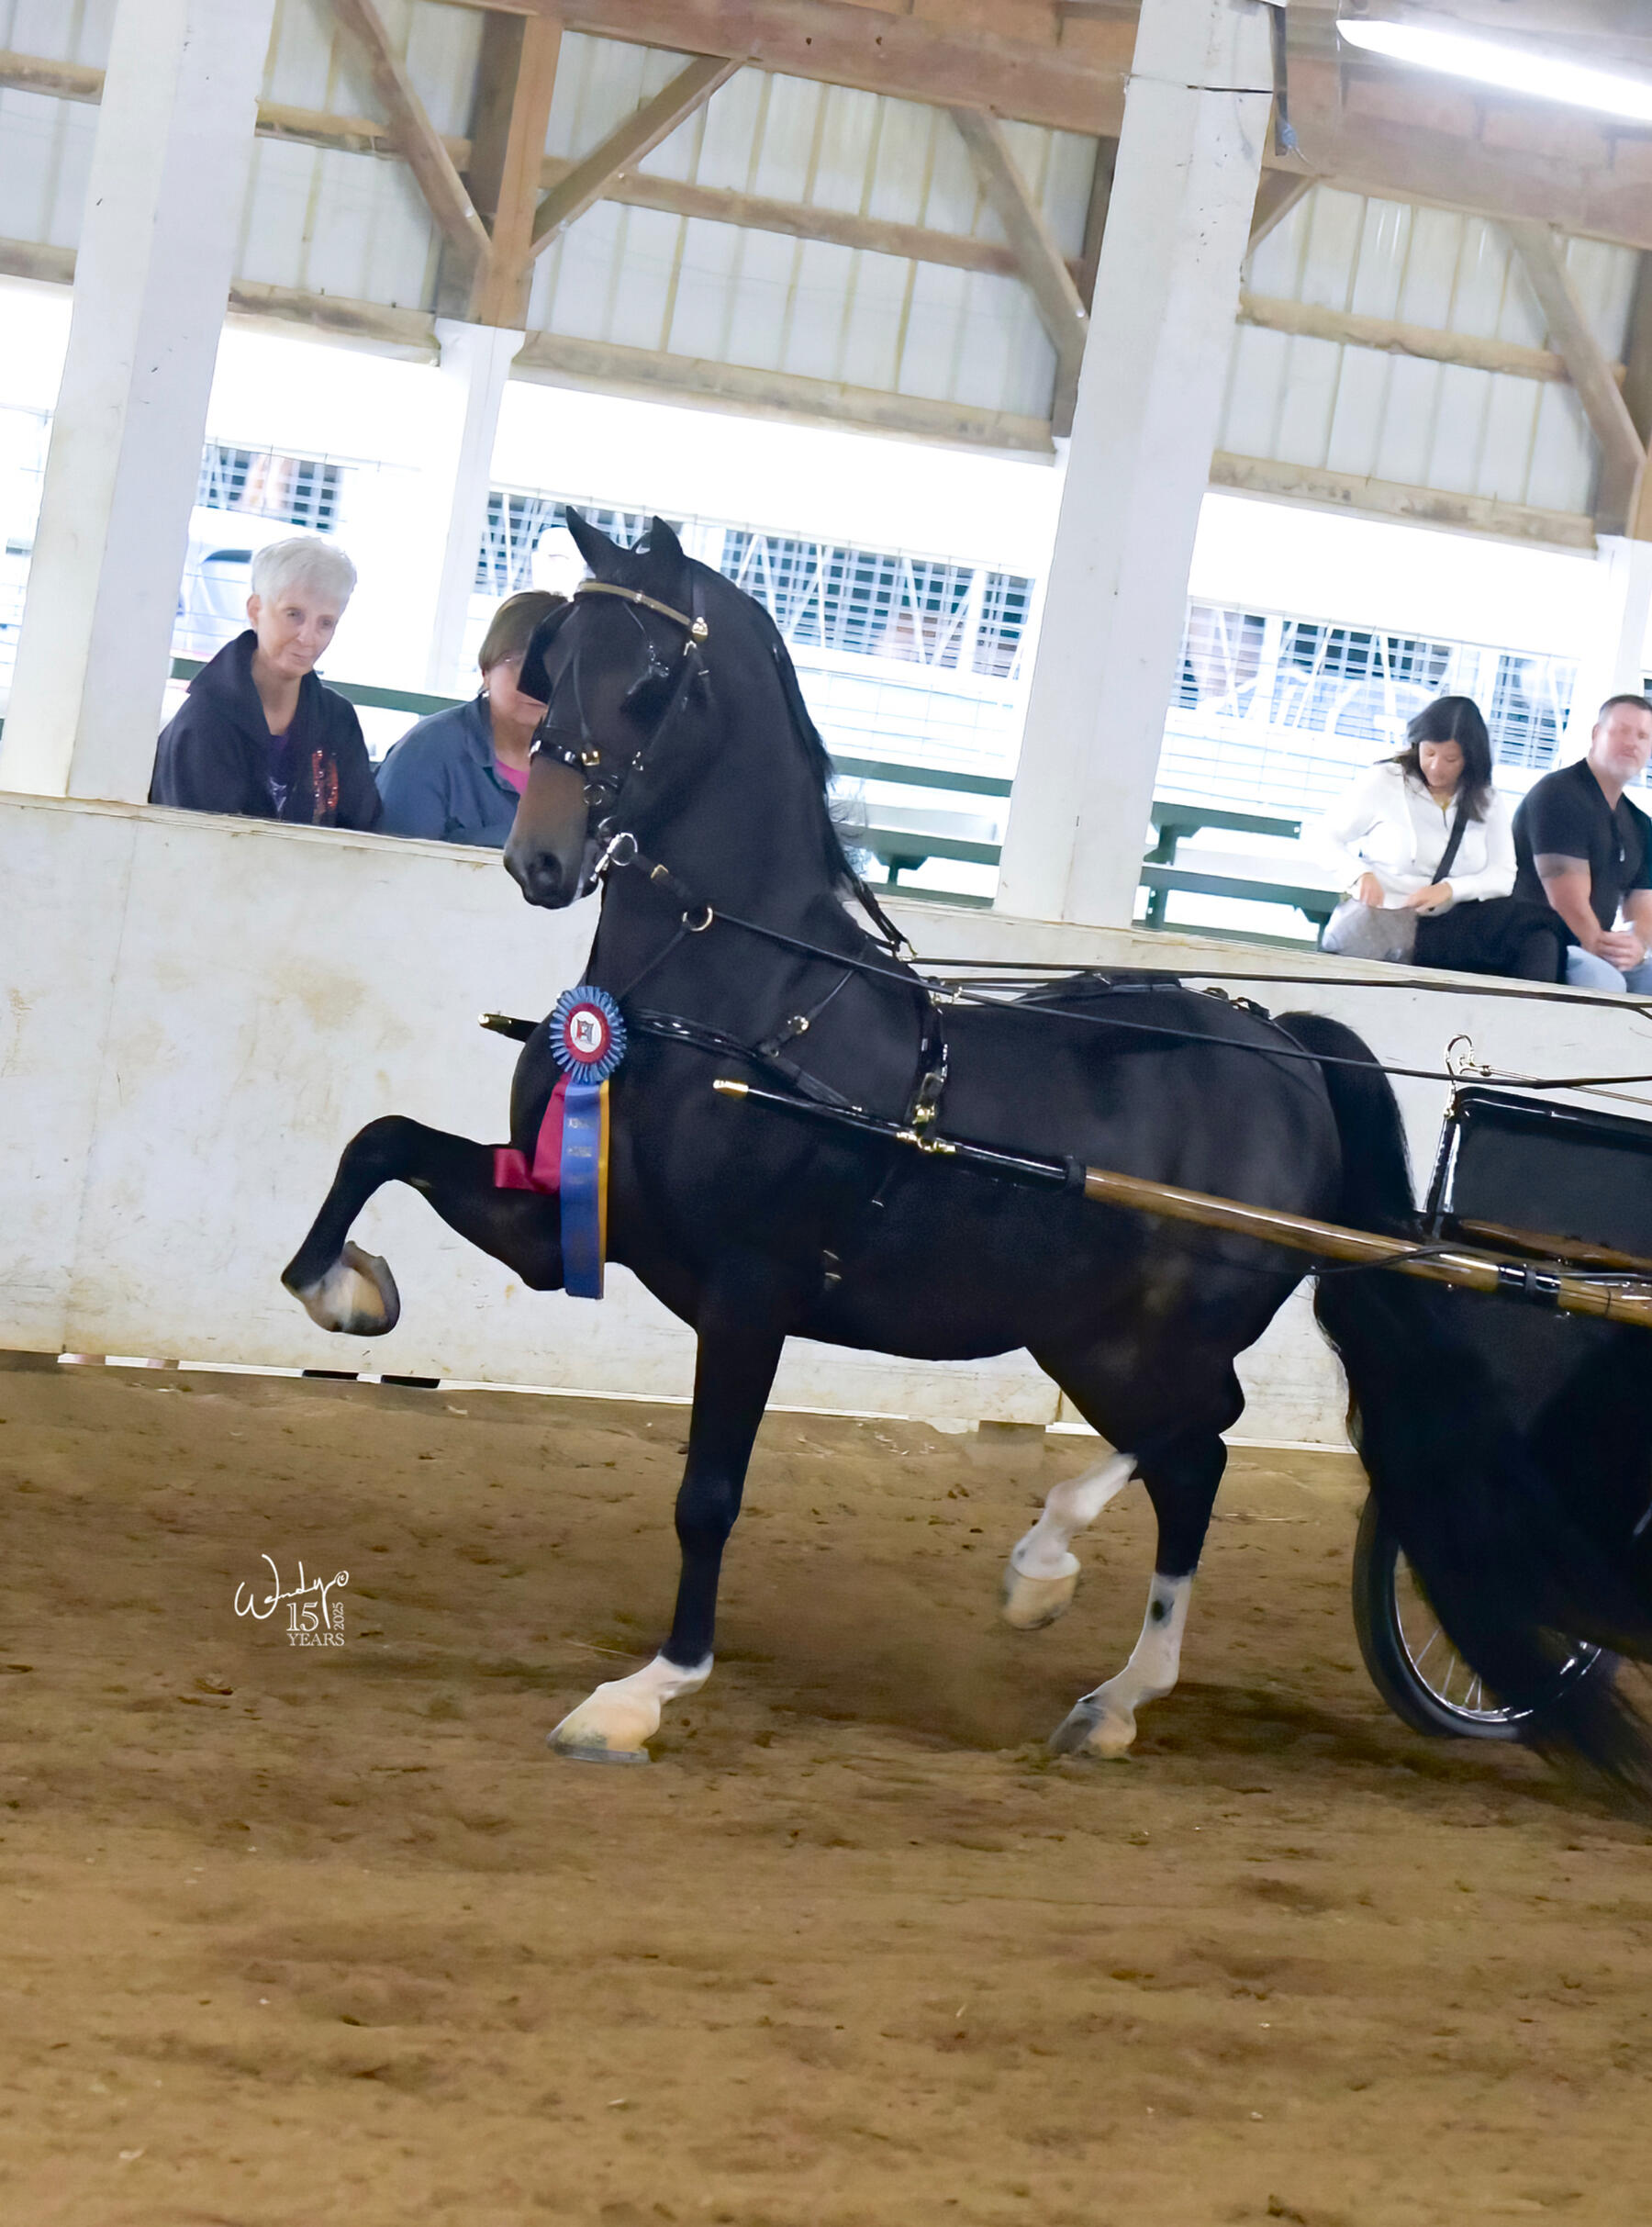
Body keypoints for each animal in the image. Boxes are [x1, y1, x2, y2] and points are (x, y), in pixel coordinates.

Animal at [282, 511, 1652, 1786]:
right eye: (555, 660)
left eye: (656, 677)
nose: (541, 858)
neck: (745, 995)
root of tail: (1284, 1045)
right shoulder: (566, 1219)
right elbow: (381, 1142)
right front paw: (344, 1290)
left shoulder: (750, 1289)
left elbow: (708, 1491)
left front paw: (645, 1692)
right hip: (1086, 1331)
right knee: (1195, 1454)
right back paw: (1101, 1675)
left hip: (1151, 1329)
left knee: (1200, 1431)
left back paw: (1059, 1591)